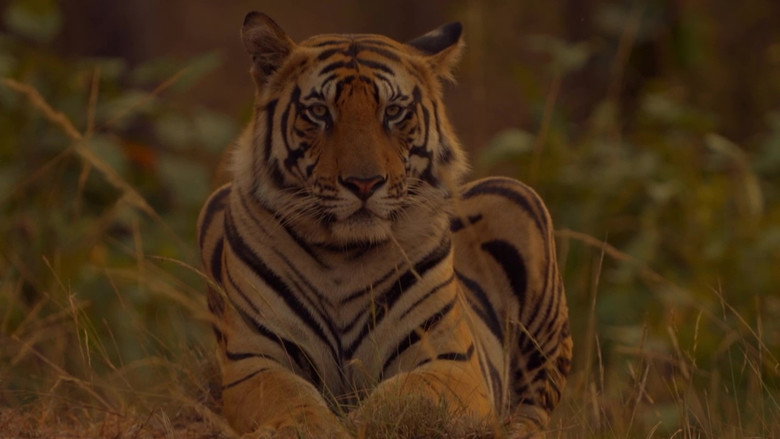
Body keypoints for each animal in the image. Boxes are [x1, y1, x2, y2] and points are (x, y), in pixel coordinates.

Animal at [197, 11, 572, 439]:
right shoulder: (254, 359)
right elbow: (290, 398)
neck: (342, 255)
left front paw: (359, 422)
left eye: (393, 112)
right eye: (319, 112)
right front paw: (313, 427)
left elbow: (408, 395)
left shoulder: (450, 360)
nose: (364, 183)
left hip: (517, 200)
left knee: (535, 407)